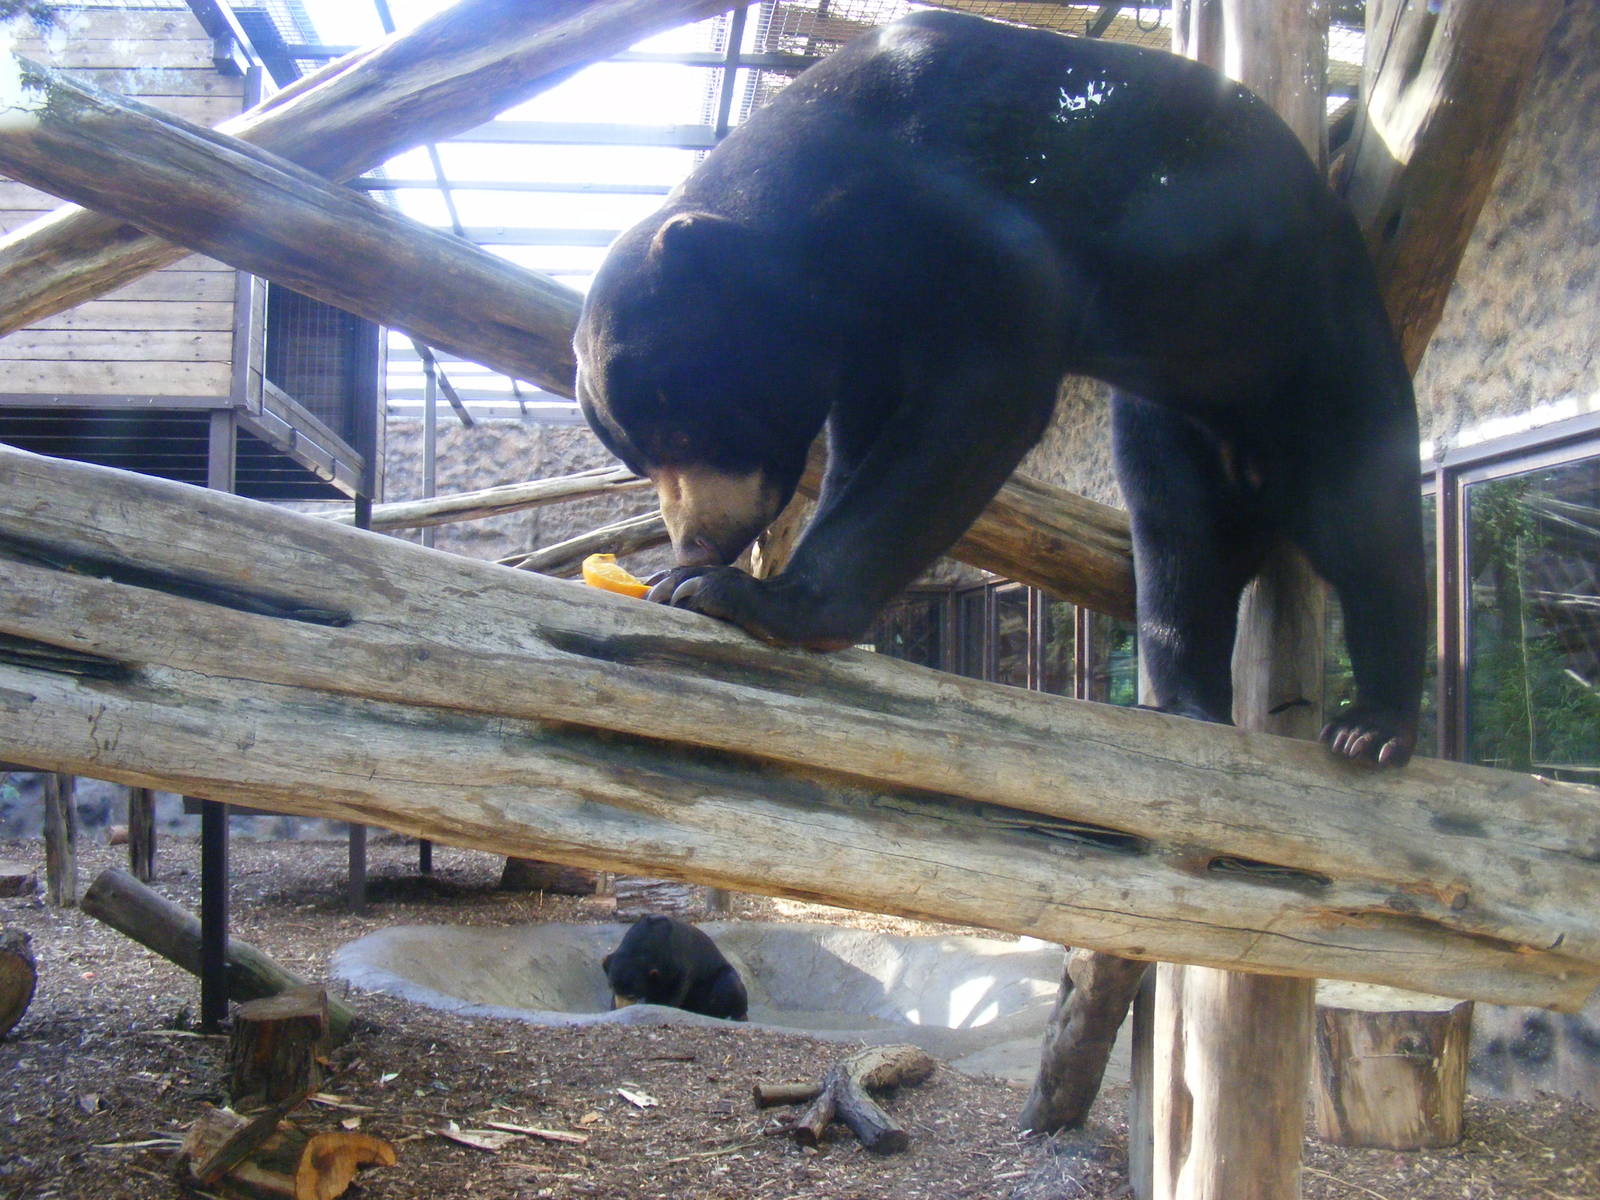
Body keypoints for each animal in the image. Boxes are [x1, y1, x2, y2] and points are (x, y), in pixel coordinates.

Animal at [574, 10, 1424, 767]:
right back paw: (1183, 707)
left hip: (1317, 354)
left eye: (685, 431)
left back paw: (1373, 728)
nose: (697, 540)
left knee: (1366, 525)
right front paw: (691, 577)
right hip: (1167, 418)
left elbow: (979, 401)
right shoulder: (867, 334)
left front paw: (738, 595)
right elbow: (865, 442)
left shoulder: (969, 221)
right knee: (1180, 548)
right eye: (638, 461)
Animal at [602, 914, 749, 1021]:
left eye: (632, 995)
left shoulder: (676, 961)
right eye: (612, 987)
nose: (620, 1008)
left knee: (729, 983)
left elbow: (676, 989)